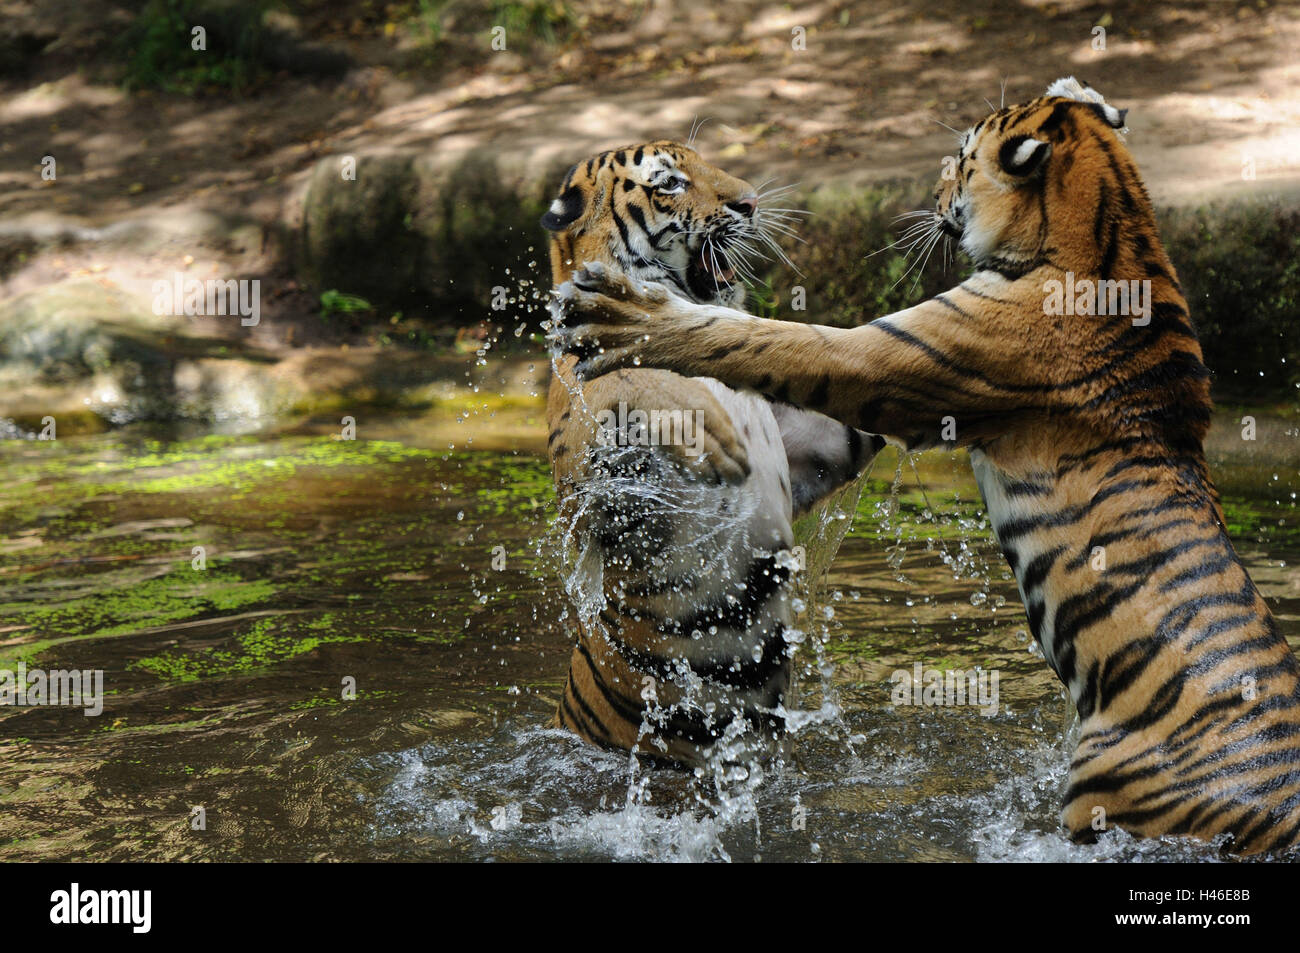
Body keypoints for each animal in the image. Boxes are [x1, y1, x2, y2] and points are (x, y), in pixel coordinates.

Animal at [538, 139, 883, 764]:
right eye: (670, 182)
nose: (750, 203)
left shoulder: (810, 444)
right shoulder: (589, 477)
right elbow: (626, 379)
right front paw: (706, 431)